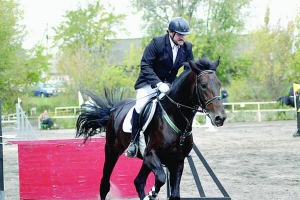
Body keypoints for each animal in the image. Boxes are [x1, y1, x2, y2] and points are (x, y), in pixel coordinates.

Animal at [75, 57, 227, 199]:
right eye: (203, 85)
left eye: (219, 84)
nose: (220, 117)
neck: (175, 116)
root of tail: (114, 109)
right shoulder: (151, 155)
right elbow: (161, 178)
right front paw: (151, 195)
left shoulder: (177, 161)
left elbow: (174, 193)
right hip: (112, 151)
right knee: (105, 184)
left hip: (144, 160)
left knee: (139, 181)